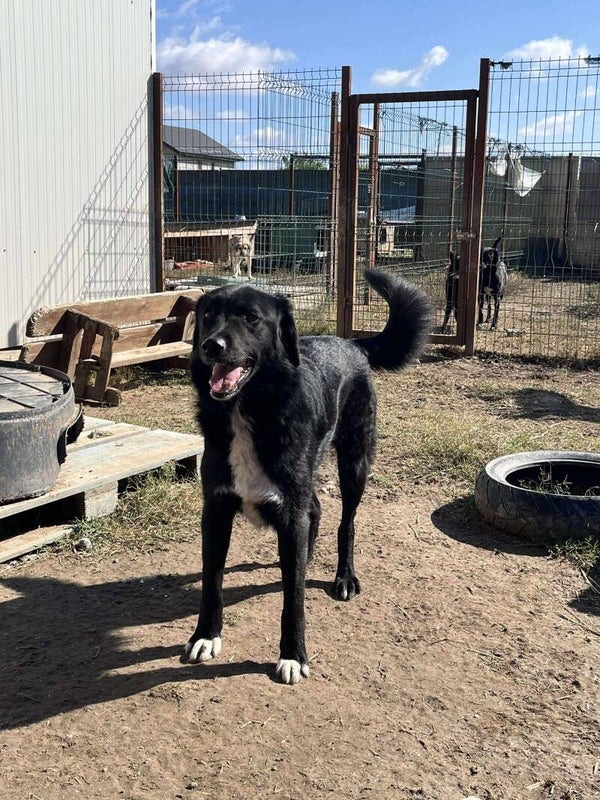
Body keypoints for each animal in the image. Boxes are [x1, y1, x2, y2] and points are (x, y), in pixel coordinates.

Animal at [184, 270, 432, 684]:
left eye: (251, 318)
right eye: (207, 316)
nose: (210, 346)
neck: (248, 409)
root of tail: (350, 343)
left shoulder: (290, 511)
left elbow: (293, 598)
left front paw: (293, 655)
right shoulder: (216, 512)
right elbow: (211, 582)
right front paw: (205, 636)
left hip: (354, 464)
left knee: (346, 523)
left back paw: (344, 577)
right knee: (315, 509)